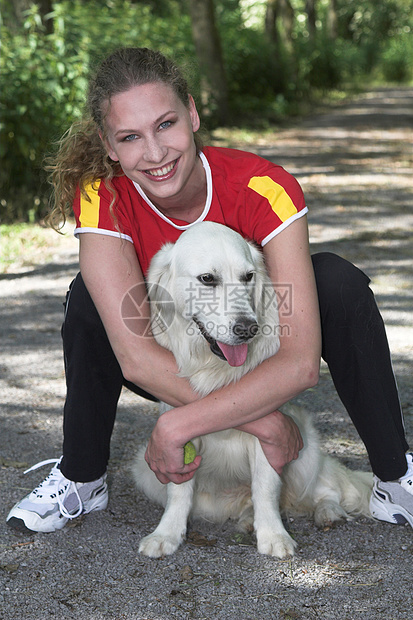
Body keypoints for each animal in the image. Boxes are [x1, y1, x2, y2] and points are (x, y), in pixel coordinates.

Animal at [131, 222, 370, 556]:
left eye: (248, 277)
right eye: (207, 279)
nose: (247, 328)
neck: (217, 370)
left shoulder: (271, 430)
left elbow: (266, 488)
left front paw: (274, 536)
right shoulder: (174, 433)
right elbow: (179, 490)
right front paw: (166, 534)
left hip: (304, 447)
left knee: (324, 489)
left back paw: (327, 512)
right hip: (145, 469)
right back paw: (246, 519)